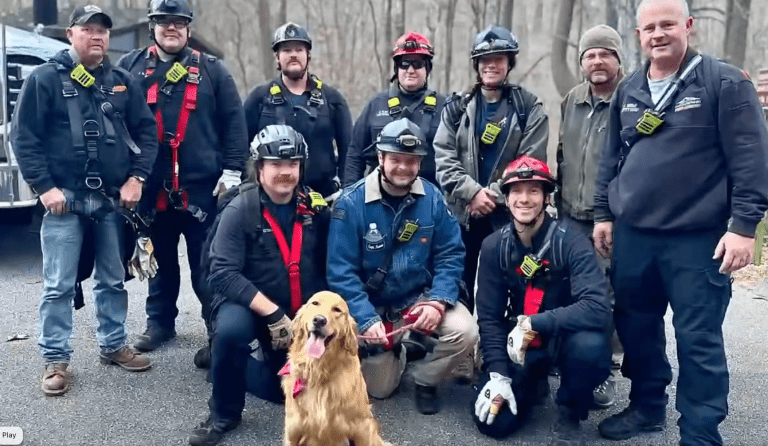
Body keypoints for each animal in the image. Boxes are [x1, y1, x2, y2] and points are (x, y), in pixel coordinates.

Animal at [280, 290, 392, 444]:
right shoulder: (292, 433)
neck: (318, 373)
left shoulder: (363, 427)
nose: (319, 320)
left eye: (337, 310)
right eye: (315, 303)